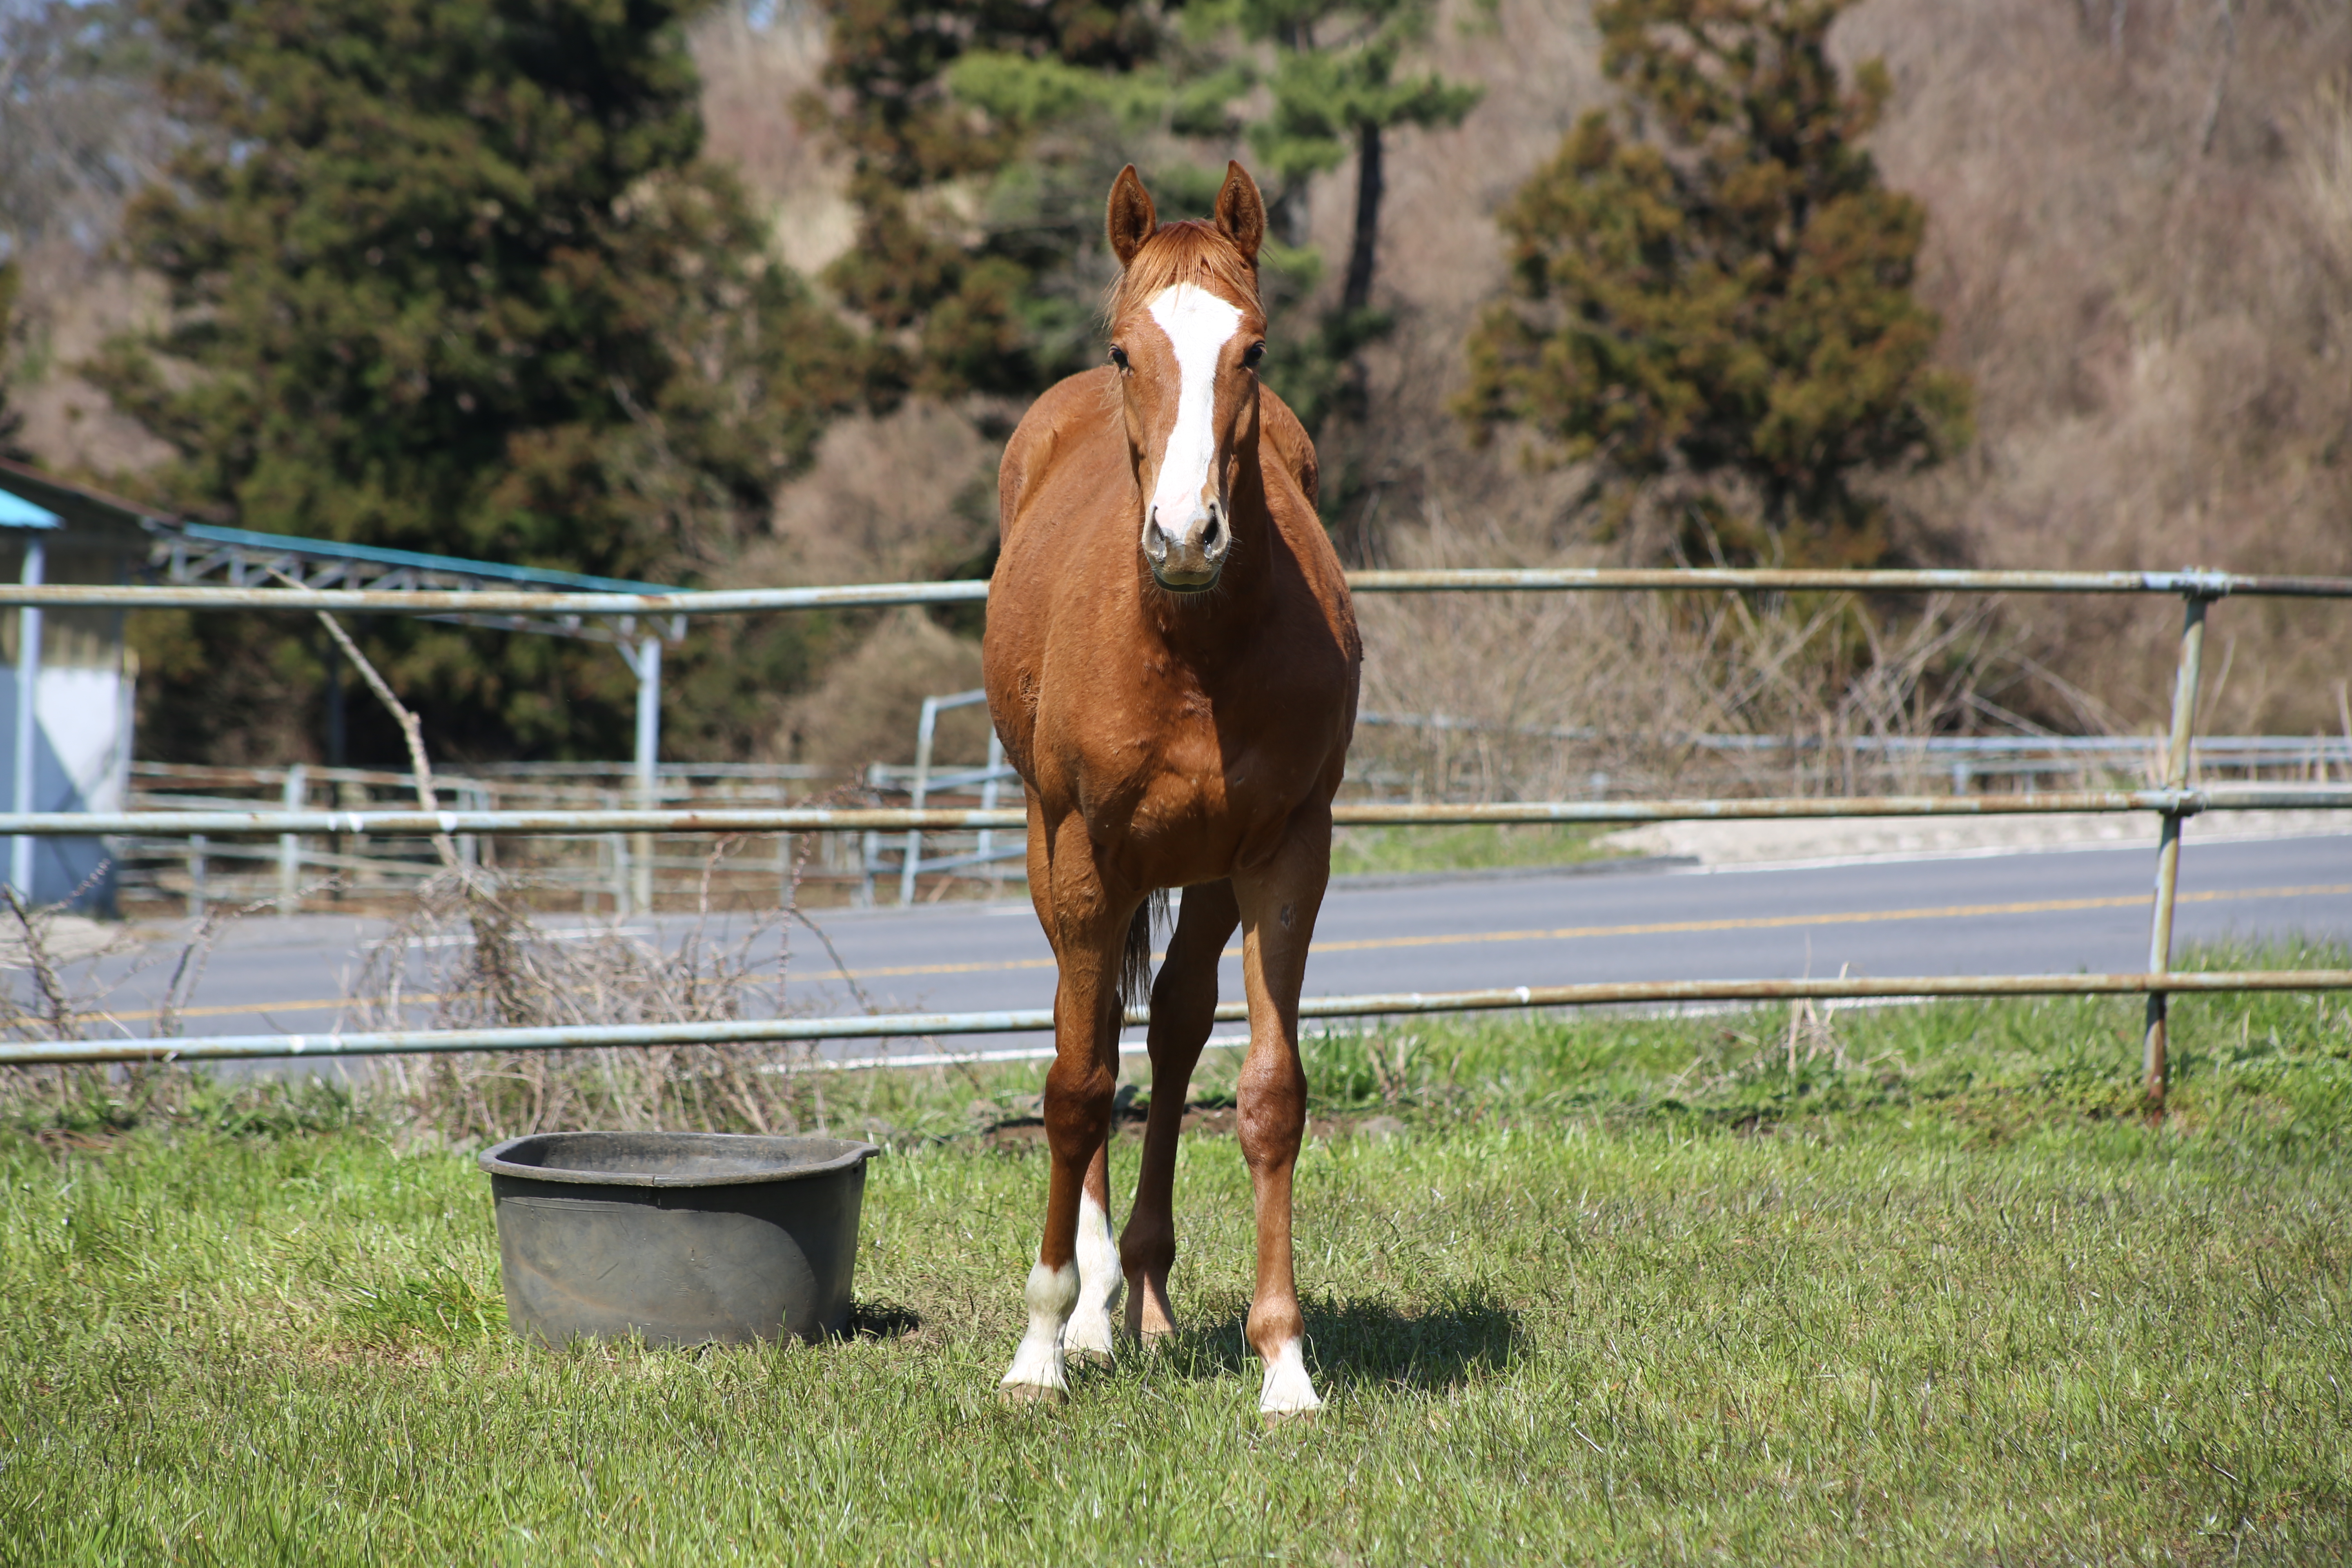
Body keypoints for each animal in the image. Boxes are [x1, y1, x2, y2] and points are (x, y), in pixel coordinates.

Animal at [988, 162, 1364, 1420]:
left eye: (1252, 349)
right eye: (1124, 351)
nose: (1186, 534)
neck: (1192, 641)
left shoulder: (1286, 853)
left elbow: (1268, 1093)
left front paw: (1285, 1363)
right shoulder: (1085, 853)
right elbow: (1072, 1085)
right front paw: (1042, 1345)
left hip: (1200, 875)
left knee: (1173, 1025)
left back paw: (1143, 1295)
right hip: (1059, 857)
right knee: (1099, 1033)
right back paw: (1097, 1309)